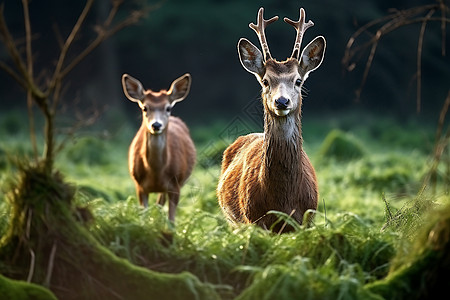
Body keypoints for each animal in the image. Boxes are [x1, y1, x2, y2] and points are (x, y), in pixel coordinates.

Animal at [122, 73, 196, 223]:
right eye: (145, 108)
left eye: (168, 108)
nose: (156, 125)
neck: (156, 172)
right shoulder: (139, 186)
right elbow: (143, 217)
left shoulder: (175, 185)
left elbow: (171, 221)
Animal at [217, 7, 326, 232]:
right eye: (266, 81)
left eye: (298, 81)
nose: (282, 101)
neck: (283, 201)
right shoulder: (254, 220)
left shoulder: (305, 220)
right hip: (233, 222)